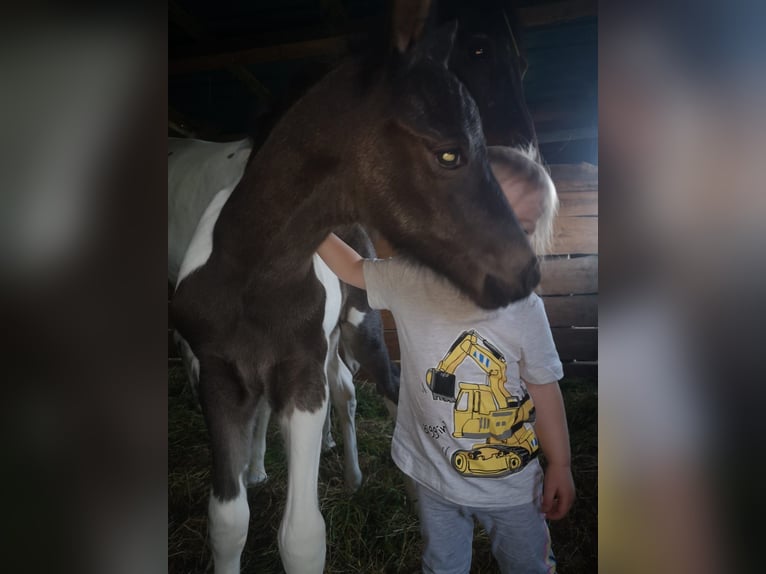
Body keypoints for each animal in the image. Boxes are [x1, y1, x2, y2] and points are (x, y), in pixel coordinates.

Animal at [170, 24, 540, 574]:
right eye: (447, 153)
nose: (526, 271)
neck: (250, 279)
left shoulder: (302, 378)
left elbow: (302, 536)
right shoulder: (217, 377)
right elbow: (228, 521)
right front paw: (251, 476)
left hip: (361, 330)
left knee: (377, 390)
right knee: (336, 391)